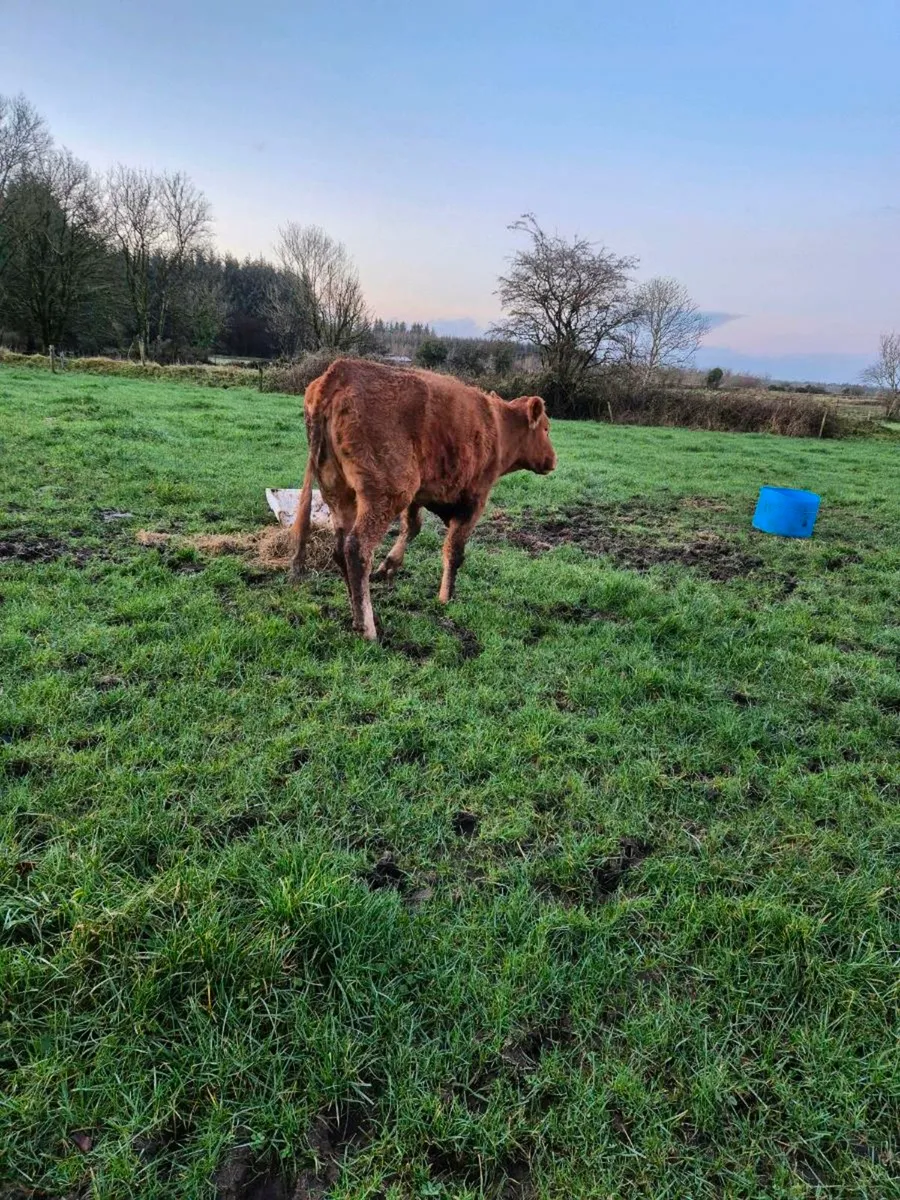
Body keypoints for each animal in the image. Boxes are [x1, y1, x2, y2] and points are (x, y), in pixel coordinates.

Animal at [291, 357, 557, 640]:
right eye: (546, 429)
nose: (553, 460)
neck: (497, 425)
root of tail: (339, 371)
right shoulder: (474, 501)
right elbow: (454, 551)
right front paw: (446, 597)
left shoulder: (419, 496)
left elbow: (413, 527)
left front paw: (389, 566)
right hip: (386, 494)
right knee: (357, 548)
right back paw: (368, 628)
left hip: (339, 494)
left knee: (341, 549)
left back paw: (359, 615)